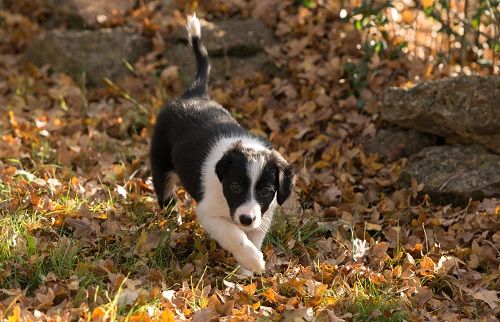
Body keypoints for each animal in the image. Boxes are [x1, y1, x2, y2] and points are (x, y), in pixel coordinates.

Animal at [150, 13, 294, 272]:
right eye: (235, 186)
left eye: (266, 191)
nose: (246, 219)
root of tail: (194, 94)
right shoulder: (208, 213)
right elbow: (234, 235)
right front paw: (253, 260)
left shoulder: (263, 215)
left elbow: (253, 236)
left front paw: (246, 269)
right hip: (161, 162)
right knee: (165, 194)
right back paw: (172, 222)